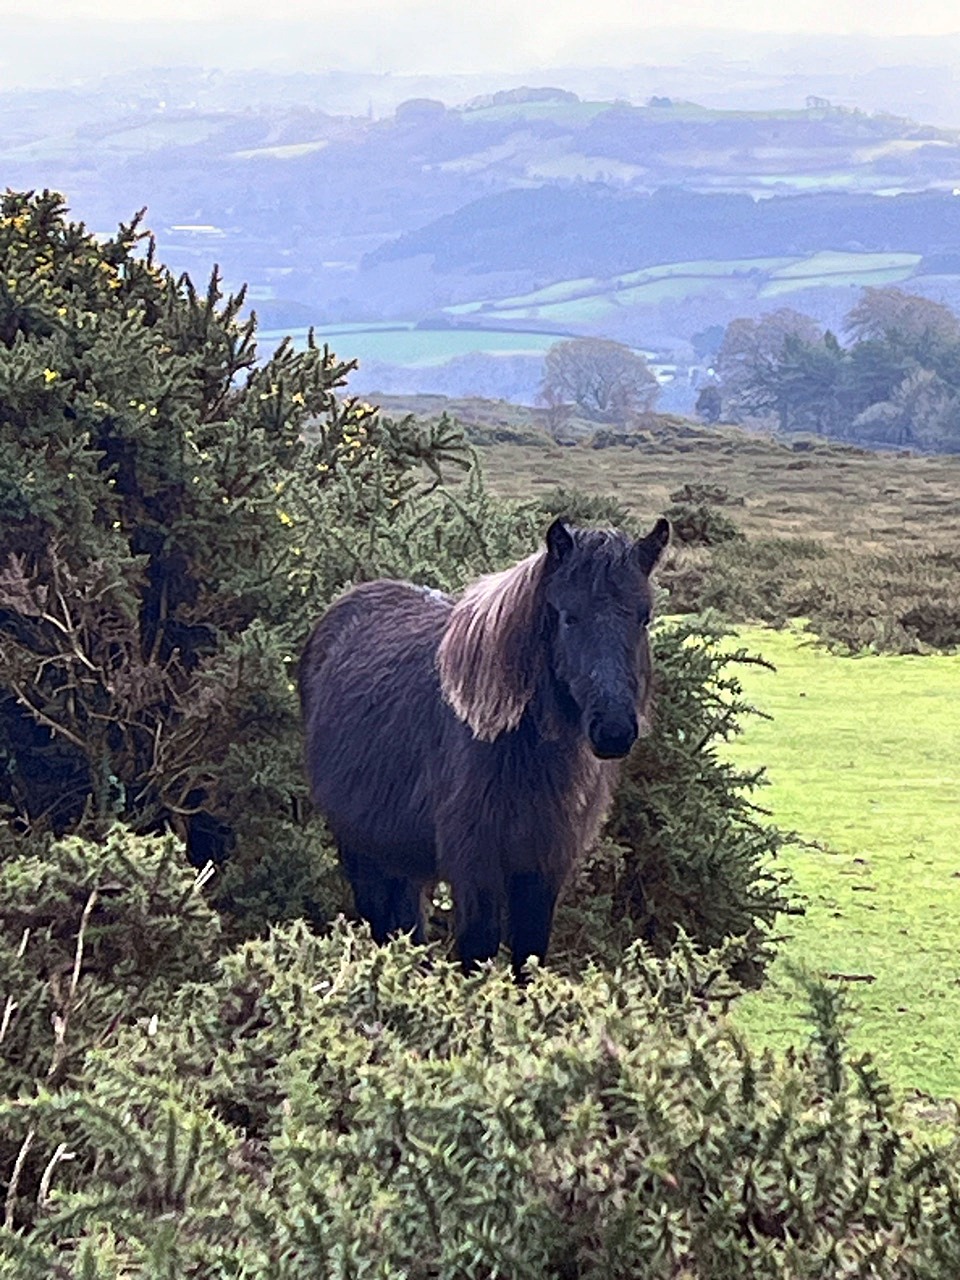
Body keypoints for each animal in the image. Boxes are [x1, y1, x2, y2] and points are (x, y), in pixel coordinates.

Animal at [299, 516, 669, 978]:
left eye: (643, 618)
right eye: (569, 616)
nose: (614, 730)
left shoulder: (542, 869)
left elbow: (529, 957)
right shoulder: (476, 869)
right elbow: (478, 952)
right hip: (360, 848)